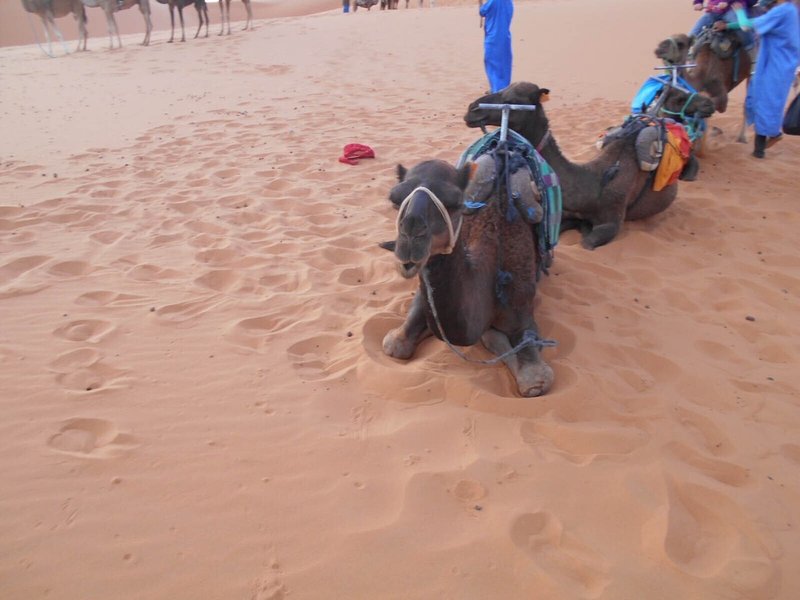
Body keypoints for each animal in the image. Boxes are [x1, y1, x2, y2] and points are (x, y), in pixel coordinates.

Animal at [378, 157, 552, 396]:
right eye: (395, 199)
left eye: (456, 203)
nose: (409, 241)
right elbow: (395, 345)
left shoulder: (522, 310)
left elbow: (534, 381)